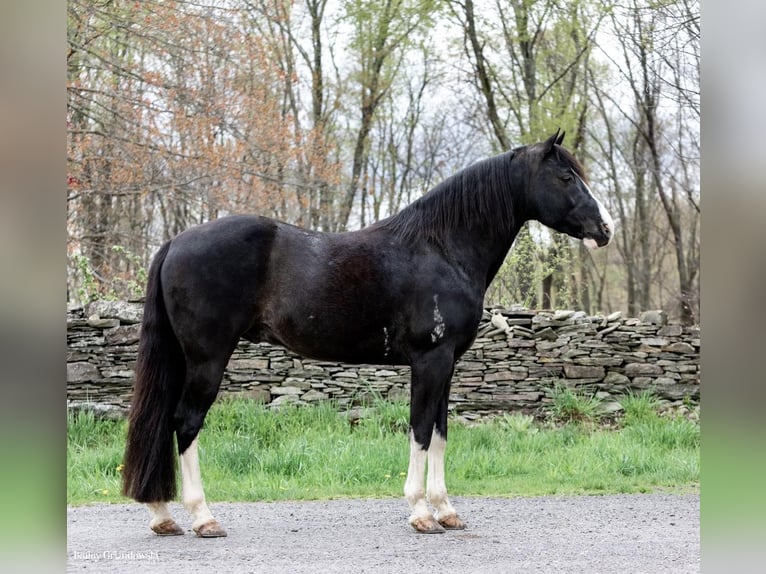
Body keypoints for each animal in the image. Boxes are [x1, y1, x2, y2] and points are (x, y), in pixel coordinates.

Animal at [123, 133, 616, 536]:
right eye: (566, 176)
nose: (605, 229)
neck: (442, 248)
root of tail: (174, 242)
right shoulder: (430, 360)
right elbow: (420, 429)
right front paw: (420, 513)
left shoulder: (448, 364)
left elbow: (440, 432)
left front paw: (446, 511)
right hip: (207, 359)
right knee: (185, 423)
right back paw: (202, 518)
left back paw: (163, 516)